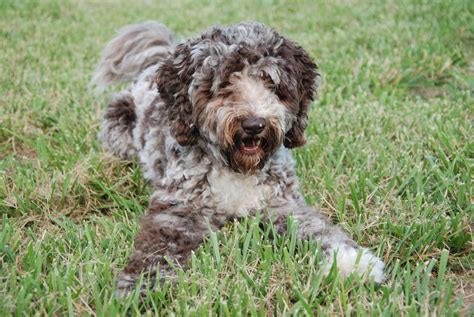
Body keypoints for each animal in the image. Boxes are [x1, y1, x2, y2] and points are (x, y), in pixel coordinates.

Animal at [92, 21, 386, 296]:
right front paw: (138, 287)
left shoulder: (282, 204)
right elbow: (158, 250)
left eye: (271, 82)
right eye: (223, 83)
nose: (254, 124)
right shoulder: (179, 208)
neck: (235, 168)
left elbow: (318, 229)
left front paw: (352, 263)